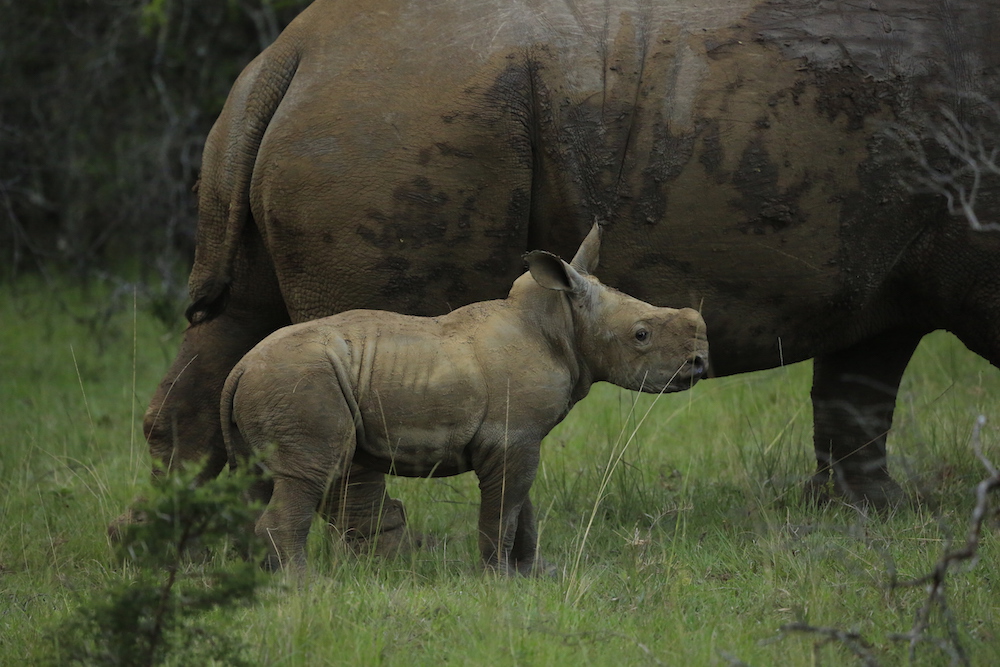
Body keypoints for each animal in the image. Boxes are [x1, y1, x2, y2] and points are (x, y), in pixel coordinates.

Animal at [223, 224, 708, 576]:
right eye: (641, 335)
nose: (701, 363)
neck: (561, 321)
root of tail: (241, 366)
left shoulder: (518, 436)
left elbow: (522, 508)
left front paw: (536, 574)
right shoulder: (510, 436)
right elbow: (504, 510)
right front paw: (499, 578)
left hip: (281, 383)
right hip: (298, 380)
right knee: (311, 473)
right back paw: (303, 586)